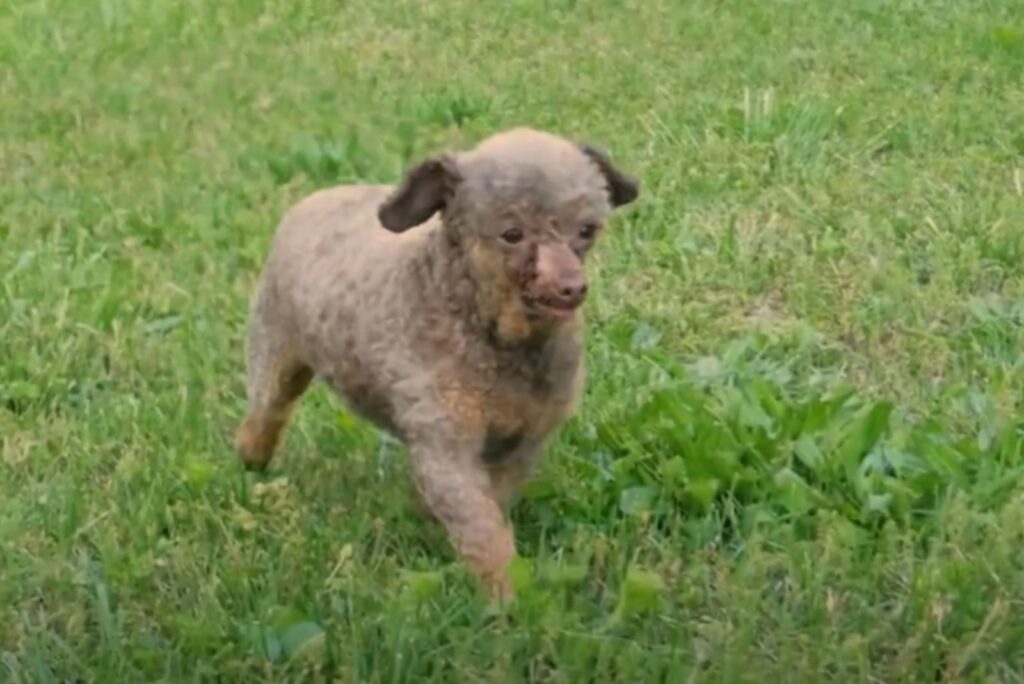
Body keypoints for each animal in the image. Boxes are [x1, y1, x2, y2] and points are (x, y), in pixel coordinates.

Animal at [237, 127, 638, 597]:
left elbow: (489, 509)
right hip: (276, 352)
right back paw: (251, 458)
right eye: (512, 234)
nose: (571, 287)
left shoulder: (524, 441)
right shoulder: (446, 441)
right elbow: (483, 530)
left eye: (587, 230)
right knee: (266, 413)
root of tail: (314, 199)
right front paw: (507, 595)